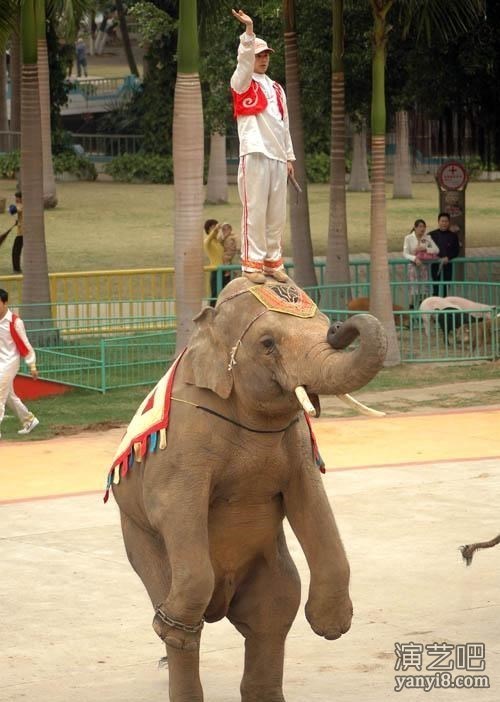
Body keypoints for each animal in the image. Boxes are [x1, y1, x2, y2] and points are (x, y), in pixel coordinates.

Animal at [110, 278, 386, 700]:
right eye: (267, 343)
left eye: (324, 324)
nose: (340, 328)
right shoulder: (183, 444)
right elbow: (174, 509)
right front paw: (169, 628)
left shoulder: (297, 444)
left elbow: (311, 503)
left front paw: (331, 625)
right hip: (141, 543)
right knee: (184, 622)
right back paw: (176, 632)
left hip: (270, 575)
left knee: (272, 617)